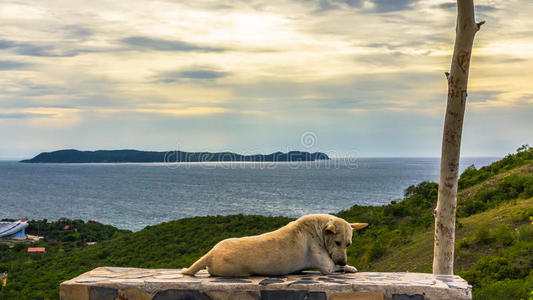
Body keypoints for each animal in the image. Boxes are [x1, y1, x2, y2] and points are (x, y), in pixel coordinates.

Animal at [182, 213, 366, 276]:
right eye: (337, 242)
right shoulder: (327, 267)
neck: (318, 229)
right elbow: (337, 267)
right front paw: (349, 267)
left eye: (348, 244)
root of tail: (211, 253)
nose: (342, 260)